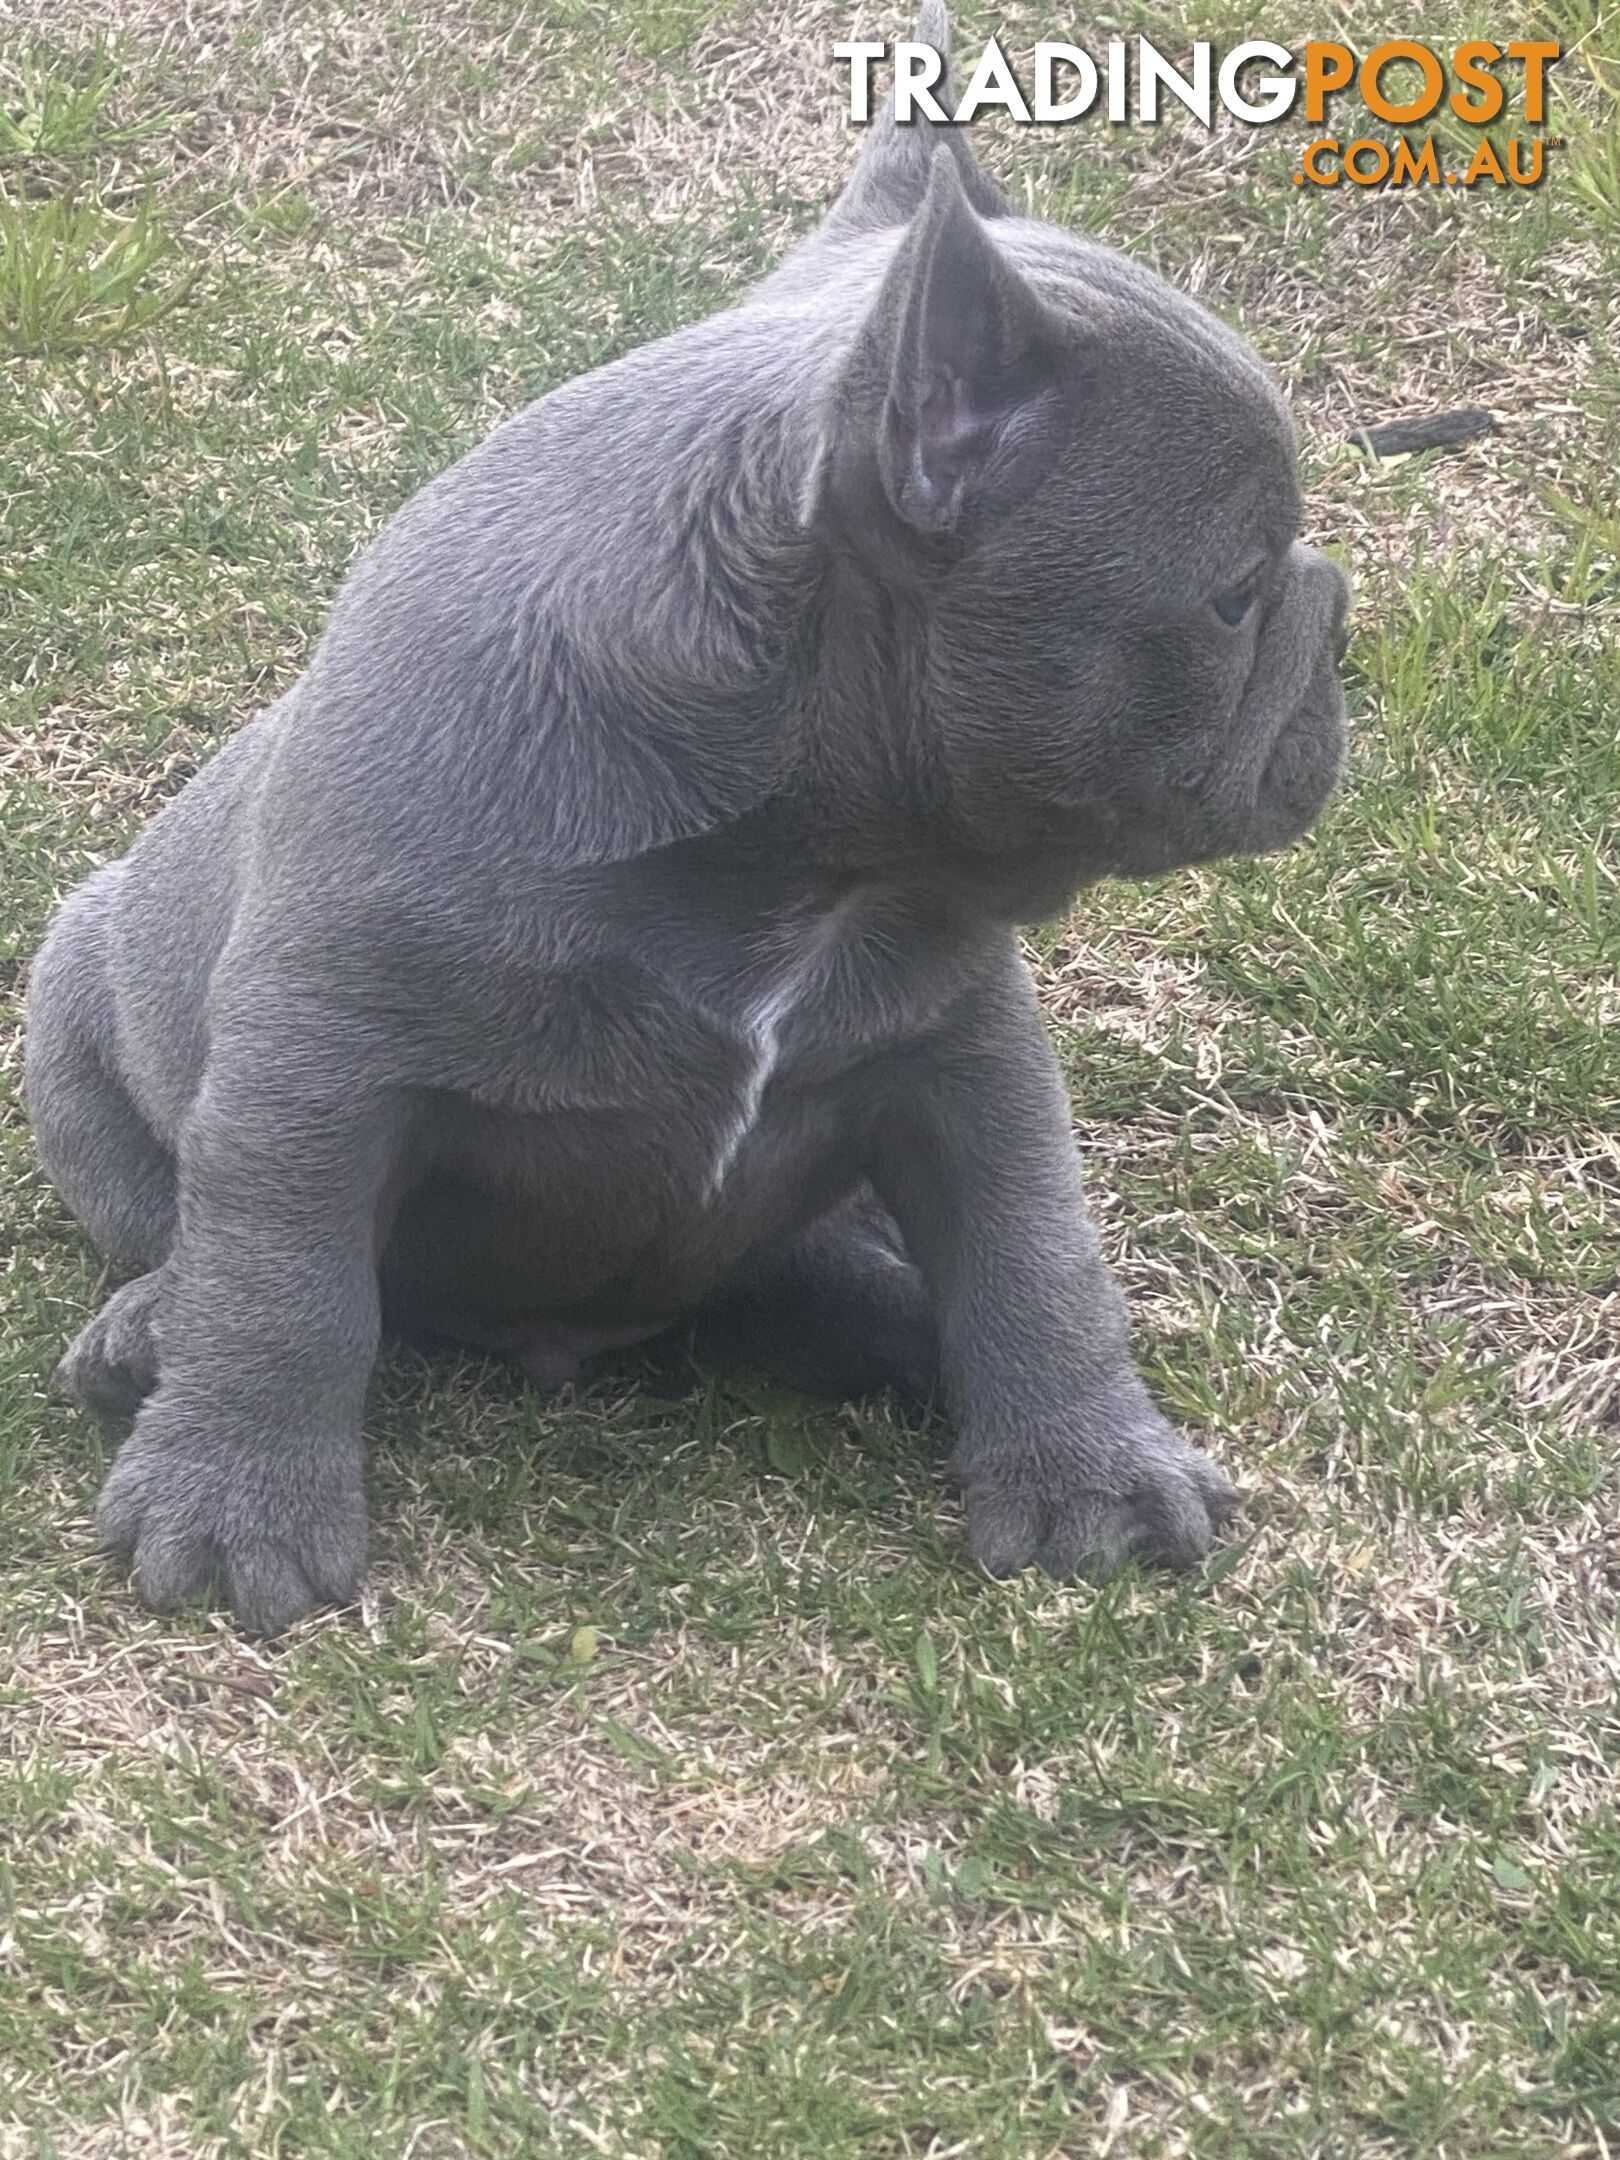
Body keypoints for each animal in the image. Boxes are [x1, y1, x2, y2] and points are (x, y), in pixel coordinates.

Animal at [25, 8, 1347, 1632]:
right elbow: (285, 1280)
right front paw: (234, 1509)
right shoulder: (314, 1059)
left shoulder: (966, 1057)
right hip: (74, 1013)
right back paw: (147, 1331)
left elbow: (1035, 1254)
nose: (1336, 609)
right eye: (1232, 596)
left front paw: (1094, 1473)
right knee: (185, 1230)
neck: (804, 849)